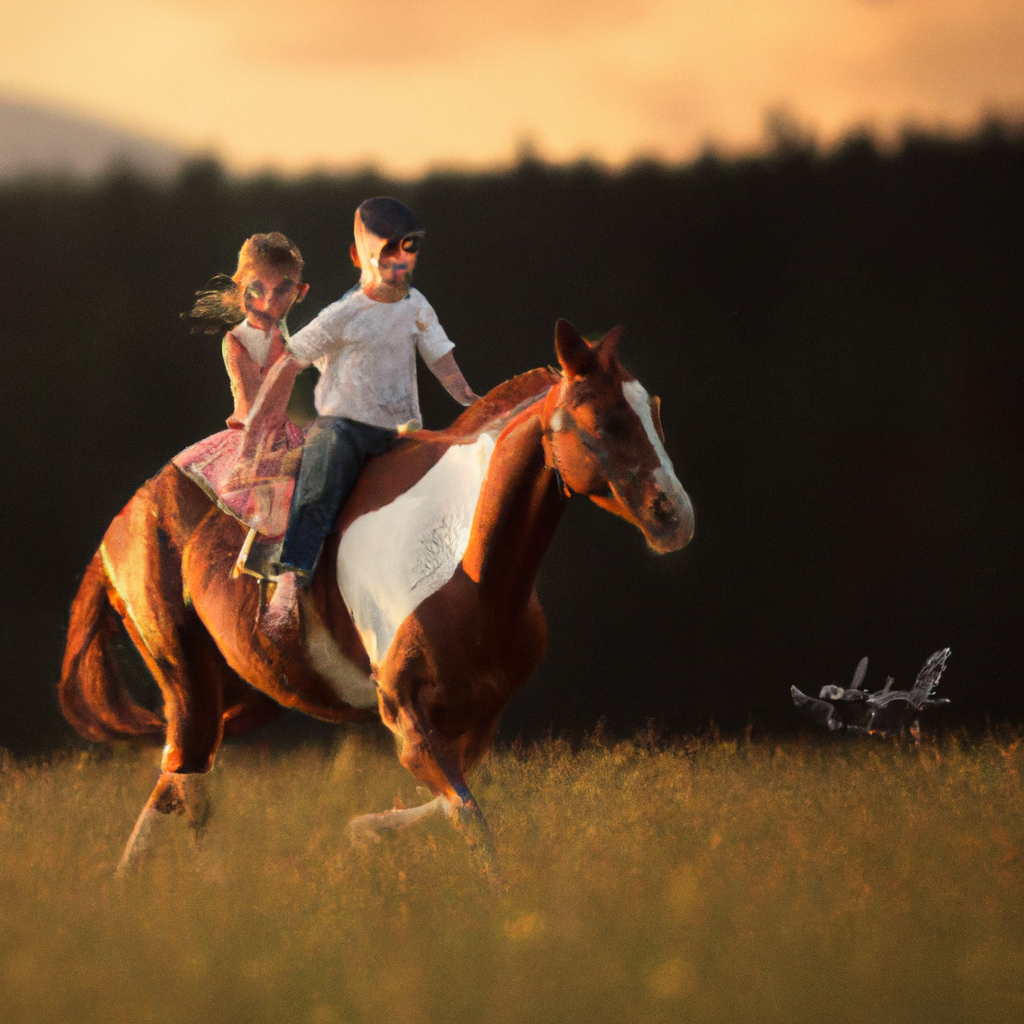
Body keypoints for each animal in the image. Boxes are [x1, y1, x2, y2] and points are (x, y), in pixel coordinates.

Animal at [58, 317, 696, 864]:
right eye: (602, 420)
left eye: (655, 411)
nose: (675, 516)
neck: (471, 566)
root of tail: (128, 514)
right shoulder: (404, 712)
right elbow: (470, 819)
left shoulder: (478, 718)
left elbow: (451, 802)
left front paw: (364, 830)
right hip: (185, 673)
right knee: (185, 770)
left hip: (248, 692)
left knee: (177, 774)